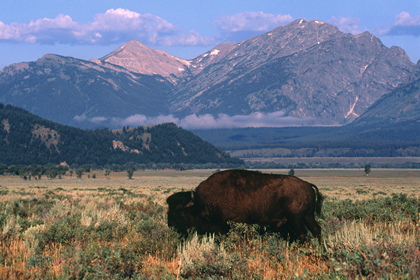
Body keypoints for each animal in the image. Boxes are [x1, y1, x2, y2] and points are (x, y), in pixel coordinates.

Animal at [166, 170, 324, 242]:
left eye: (180, 211)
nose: (170, 224)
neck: (203, 204)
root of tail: (307, 185)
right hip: (308, 216)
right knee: (316, 230)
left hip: (296, 218)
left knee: (303, 233)